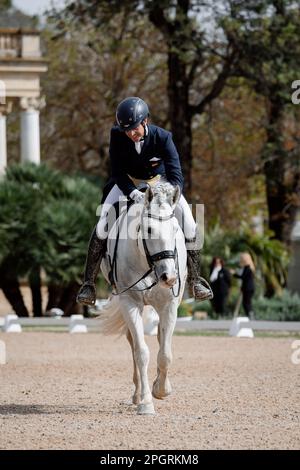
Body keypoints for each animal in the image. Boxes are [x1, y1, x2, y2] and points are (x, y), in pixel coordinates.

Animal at [99, 182, 186, 414]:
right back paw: (137, 395)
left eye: (176, 229)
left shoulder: (169, 305)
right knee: (133, 343)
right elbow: (141, 352)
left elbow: (165, 353)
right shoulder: (130, 303)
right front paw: (146, 401)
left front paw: (161, 390)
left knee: (160, 340)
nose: (169, 277)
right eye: (148, 230)